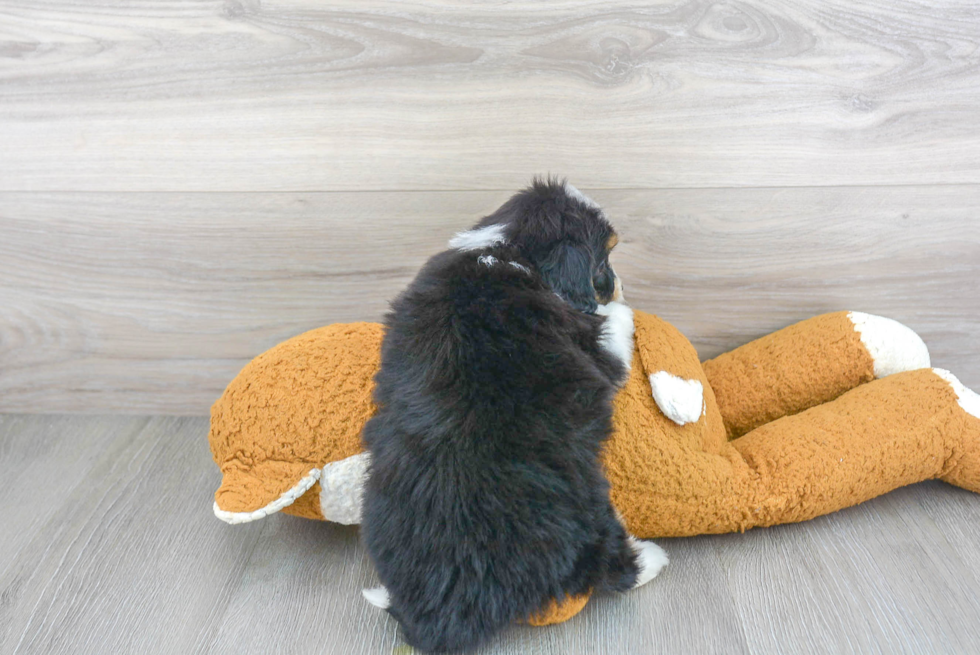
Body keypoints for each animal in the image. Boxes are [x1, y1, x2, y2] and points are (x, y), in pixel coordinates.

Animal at [356, 179, 664, 655]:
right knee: (608, 563)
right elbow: (616, 322)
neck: (509, 248)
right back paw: (651, 559)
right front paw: (621, 306)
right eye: (604, 260)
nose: (618, 283)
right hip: (588, 503)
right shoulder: (597, 351)